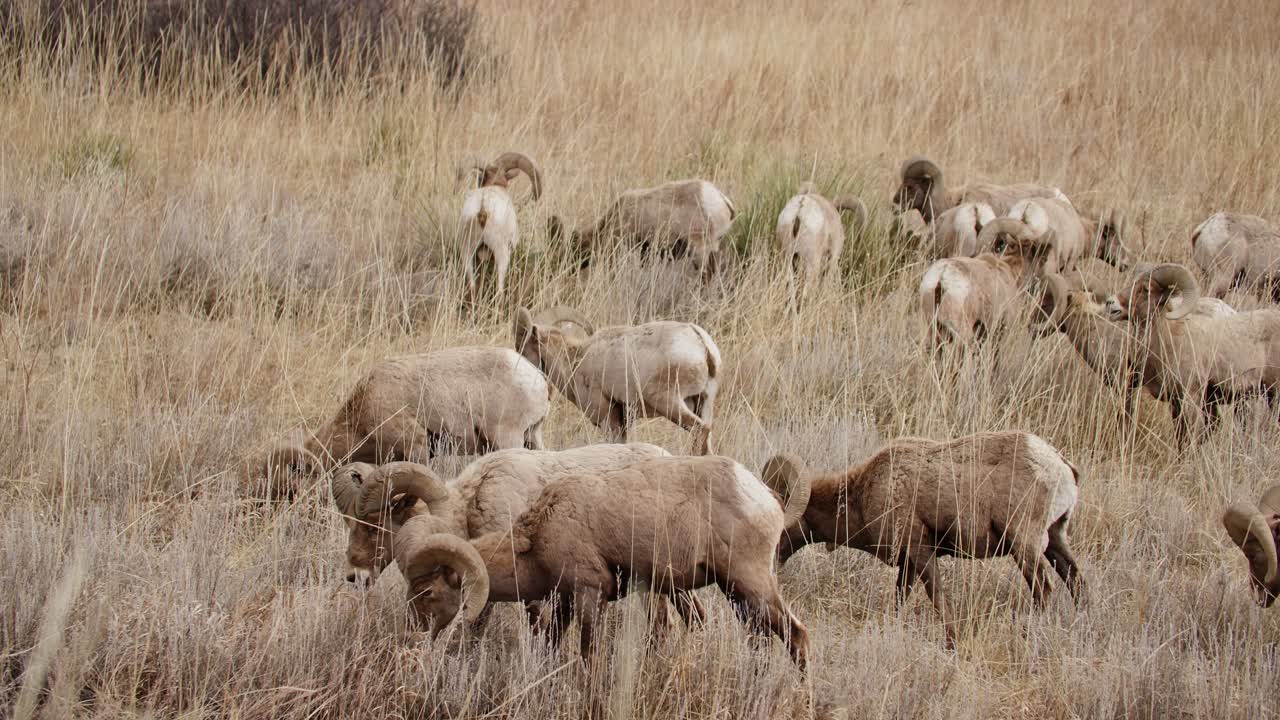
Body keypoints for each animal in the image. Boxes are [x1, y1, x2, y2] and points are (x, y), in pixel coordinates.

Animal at [391, 454, 811, 668]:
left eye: (427, 593)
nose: (409, 639)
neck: (539, 535)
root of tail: (765, 497)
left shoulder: (590, 594)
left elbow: (588, 655)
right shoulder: (562, 600)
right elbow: (551, 645)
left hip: (752, 585)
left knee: (798, 637)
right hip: (736, 594)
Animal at [514, 306, 720, 455]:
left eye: (522, 347)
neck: (574, 361)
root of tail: (701, 343)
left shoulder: (607, 416)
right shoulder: (624, 419)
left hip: (668, 402)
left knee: (700, 430)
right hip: (703, 403)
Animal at [763, 431, 1083, 646]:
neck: (863, 495)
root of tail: (1061, 466)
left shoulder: (920, 551)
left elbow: (938, 598)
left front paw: (952, 644)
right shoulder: (907, 564)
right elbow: (899, 600)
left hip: (1025, 546)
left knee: (1043, 589)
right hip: (1055, 540)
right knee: (1076, 581)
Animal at [918, 218, 1055, 356]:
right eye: (1043, 257)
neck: (1011, 271)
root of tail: (942, 276)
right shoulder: (998, 334)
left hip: (932, 331)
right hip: (962, 335)